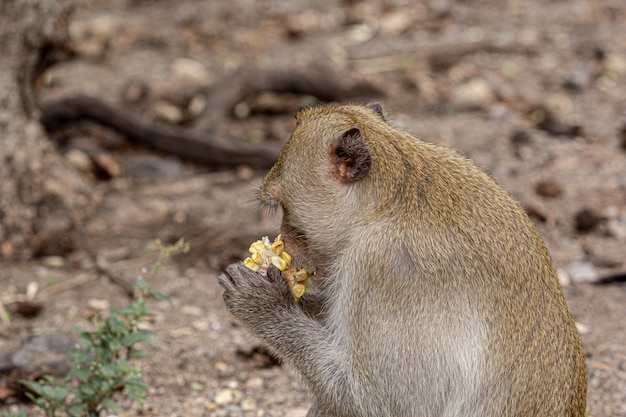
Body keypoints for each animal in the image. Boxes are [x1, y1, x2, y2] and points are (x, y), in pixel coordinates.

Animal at [218, 101, 584, 416]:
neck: (389, 202)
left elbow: (389, 405)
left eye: (283, 208)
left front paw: (262, 304)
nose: (285, 242)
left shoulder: (386, 266)